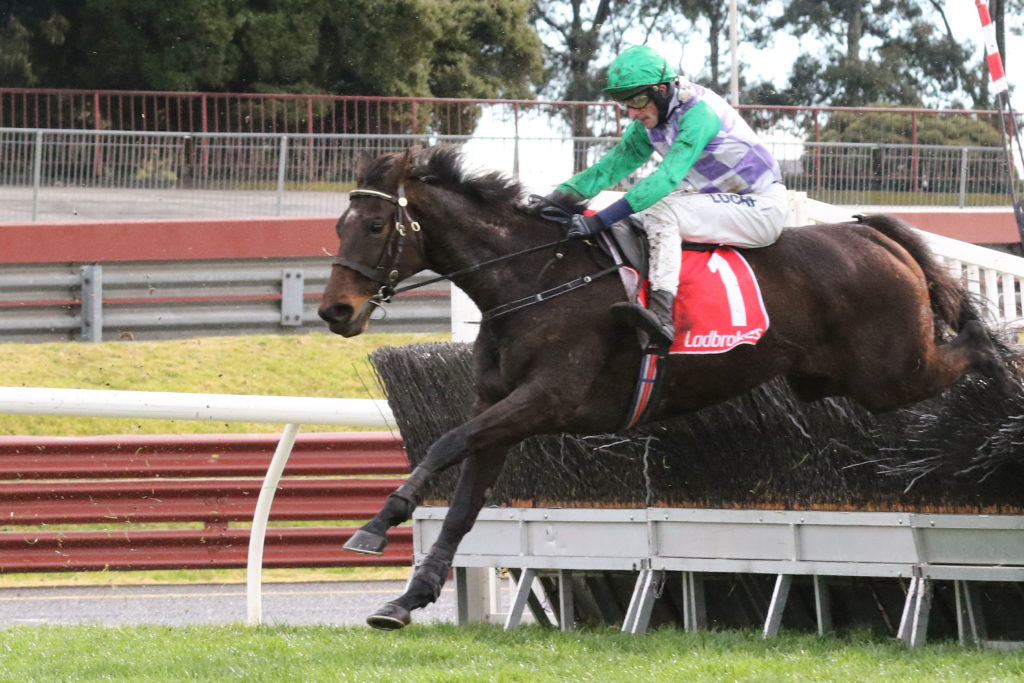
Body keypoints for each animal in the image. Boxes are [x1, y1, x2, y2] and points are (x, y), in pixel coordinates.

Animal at [318, 145, 1010, 630]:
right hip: (844, 377)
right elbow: (463, 500)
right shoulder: (501, 406)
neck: (532, 279)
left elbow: (443, 444)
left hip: (893, 372)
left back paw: (1004, 400)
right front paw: (409, 597)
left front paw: (375, 526)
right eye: (338, 225)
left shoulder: (547, 400)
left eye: (376, 226)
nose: (335, 312)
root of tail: (867, 229)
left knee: (975, 343)